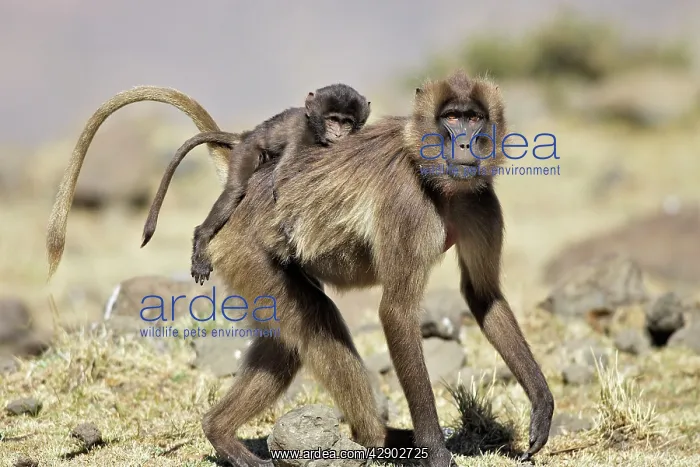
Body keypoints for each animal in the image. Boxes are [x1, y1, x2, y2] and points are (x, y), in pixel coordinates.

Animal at [139, 84, 371, 287]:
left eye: (347, 122)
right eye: (332, 120)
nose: (338, 134)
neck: (314, 129)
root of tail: (247, 134)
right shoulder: (301, 137)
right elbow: (280, 179)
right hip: (247, 151)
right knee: (235, 191)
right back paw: (202, 236)